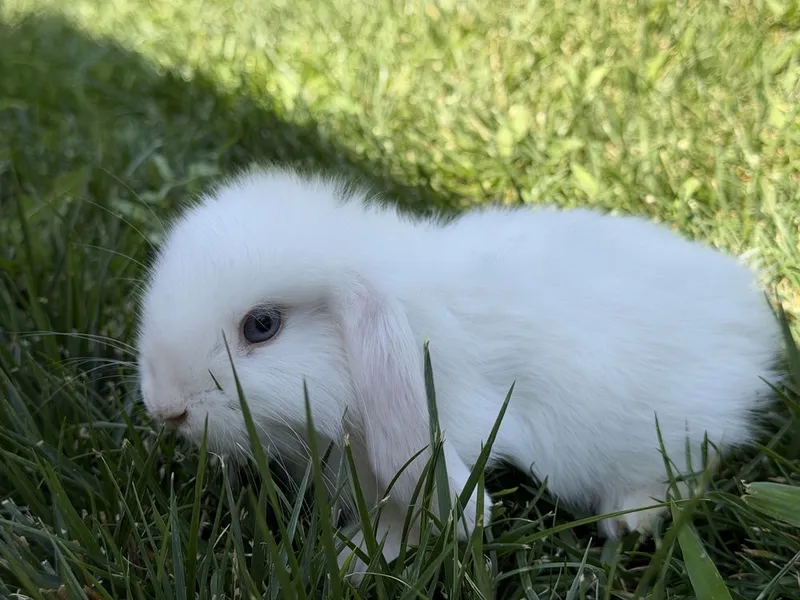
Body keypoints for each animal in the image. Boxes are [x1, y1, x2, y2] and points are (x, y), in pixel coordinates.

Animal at [136, 165, 784, 580]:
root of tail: (751, 317)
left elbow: (409, 512)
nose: (166, 409)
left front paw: (353, 560)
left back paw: (630, 519)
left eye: (263, 325)